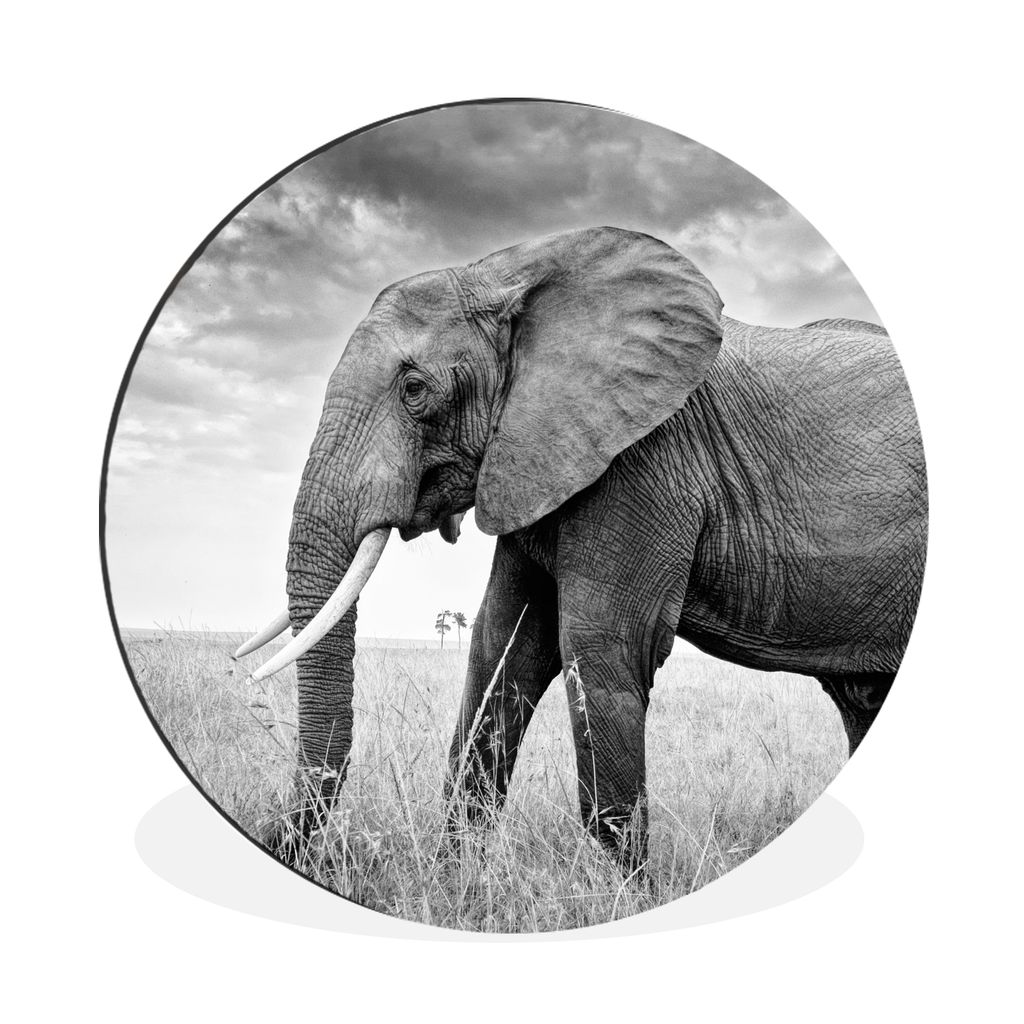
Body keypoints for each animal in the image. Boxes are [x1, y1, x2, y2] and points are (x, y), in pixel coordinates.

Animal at [236, 226, 927, 872]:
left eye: (414, 388)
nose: (283, 843)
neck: (509, 275)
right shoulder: (533, 457)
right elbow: (502, 646)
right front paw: (459, 880)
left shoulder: (642, 459)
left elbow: (599, 645)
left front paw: (629, 893)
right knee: (862, 698)